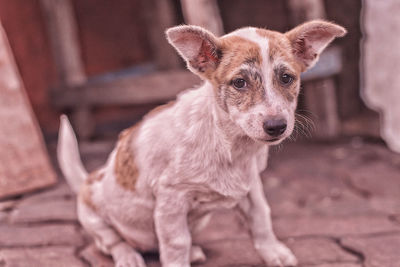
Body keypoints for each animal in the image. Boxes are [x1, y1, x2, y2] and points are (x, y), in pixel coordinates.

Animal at [57, 19, 346, 266]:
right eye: (239, 83)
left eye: (286, 78)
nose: (276, 126)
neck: (230, 144)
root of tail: (86, 180)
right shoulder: (172, 198)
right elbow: (176, 242)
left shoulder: (251, 186)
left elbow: (261, 219)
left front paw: (274, 253)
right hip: (94, 218)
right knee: (113, 243)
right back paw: (129, 257)